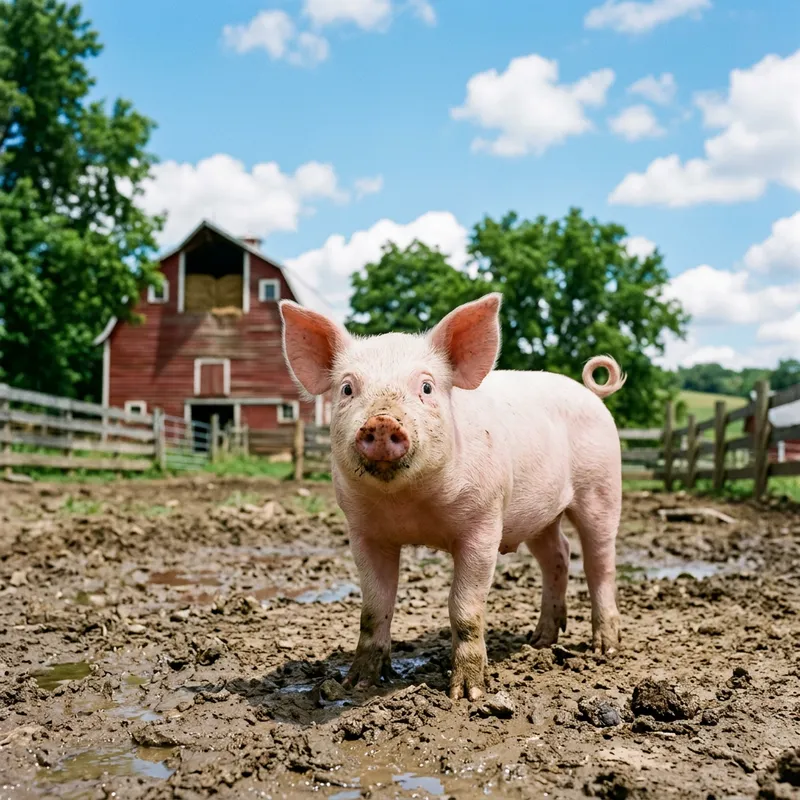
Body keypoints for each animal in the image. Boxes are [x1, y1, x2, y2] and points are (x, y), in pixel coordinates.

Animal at [279, 292, 626, 701]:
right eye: (348, 389)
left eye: (427, 388)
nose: (382, 421)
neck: (409, 505)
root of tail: (590, 393)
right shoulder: (364, 532)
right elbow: (374, 607)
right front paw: (357, 683)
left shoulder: (484, 523)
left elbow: (464, 607)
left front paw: (468, 693)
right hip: (538, 515)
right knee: (558, 554)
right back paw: (539, 641)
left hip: (602, 488)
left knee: (599, 562)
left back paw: (605, 648)